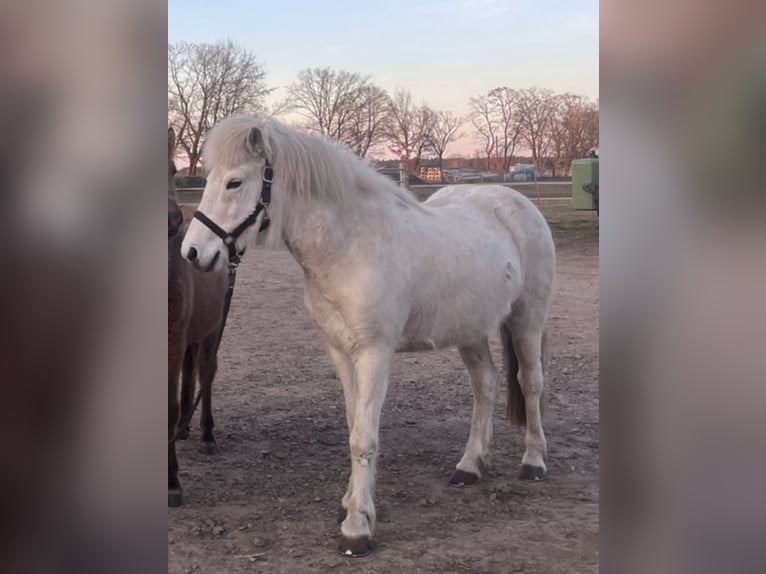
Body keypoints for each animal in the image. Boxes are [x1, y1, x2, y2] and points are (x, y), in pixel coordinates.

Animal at [180, 115, 556, 556]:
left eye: (234, 182)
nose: (192, 253)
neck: (351, 246)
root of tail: (517, 203)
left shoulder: (375, 353)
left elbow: (364, 437)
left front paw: (357, 527)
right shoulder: (340, 352)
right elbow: (353, 424)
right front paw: (352, 504)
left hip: (527, 318)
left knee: (530, 383)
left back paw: (533, 462)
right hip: (471, 330)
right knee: (486, 385)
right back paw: (469, 466)